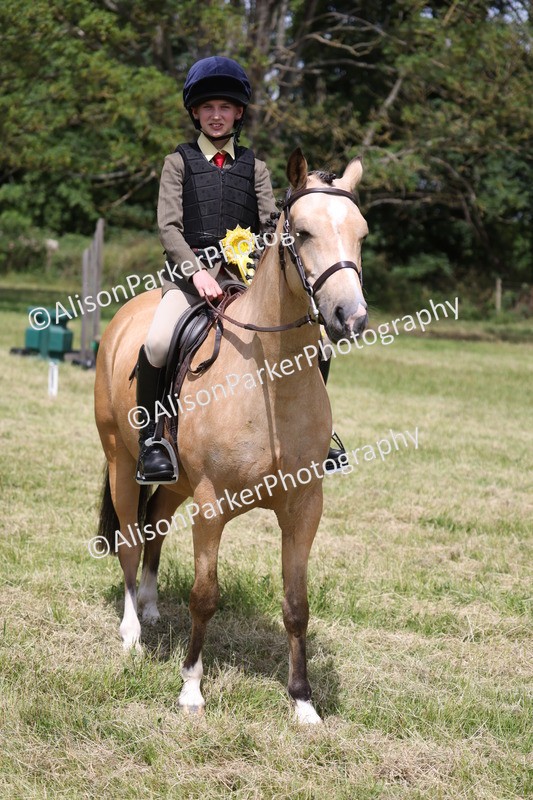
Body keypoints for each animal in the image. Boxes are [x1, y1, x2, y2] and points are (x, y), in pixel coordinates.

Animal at [94, 148, 368, 724]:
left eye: (361, 233)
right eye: (302, 233)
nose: (350, 318)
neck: (269, 384)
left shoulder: (305, 506)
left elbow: (296, 604)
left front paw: (303, 702)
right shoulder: (210, 502)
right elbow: (204, 595)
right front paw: (191, 689)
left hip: (174, 483)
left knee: (156, 526)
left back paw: (150, 607)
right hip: (121, 462)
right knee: (131, 537)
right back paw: (131, 629)